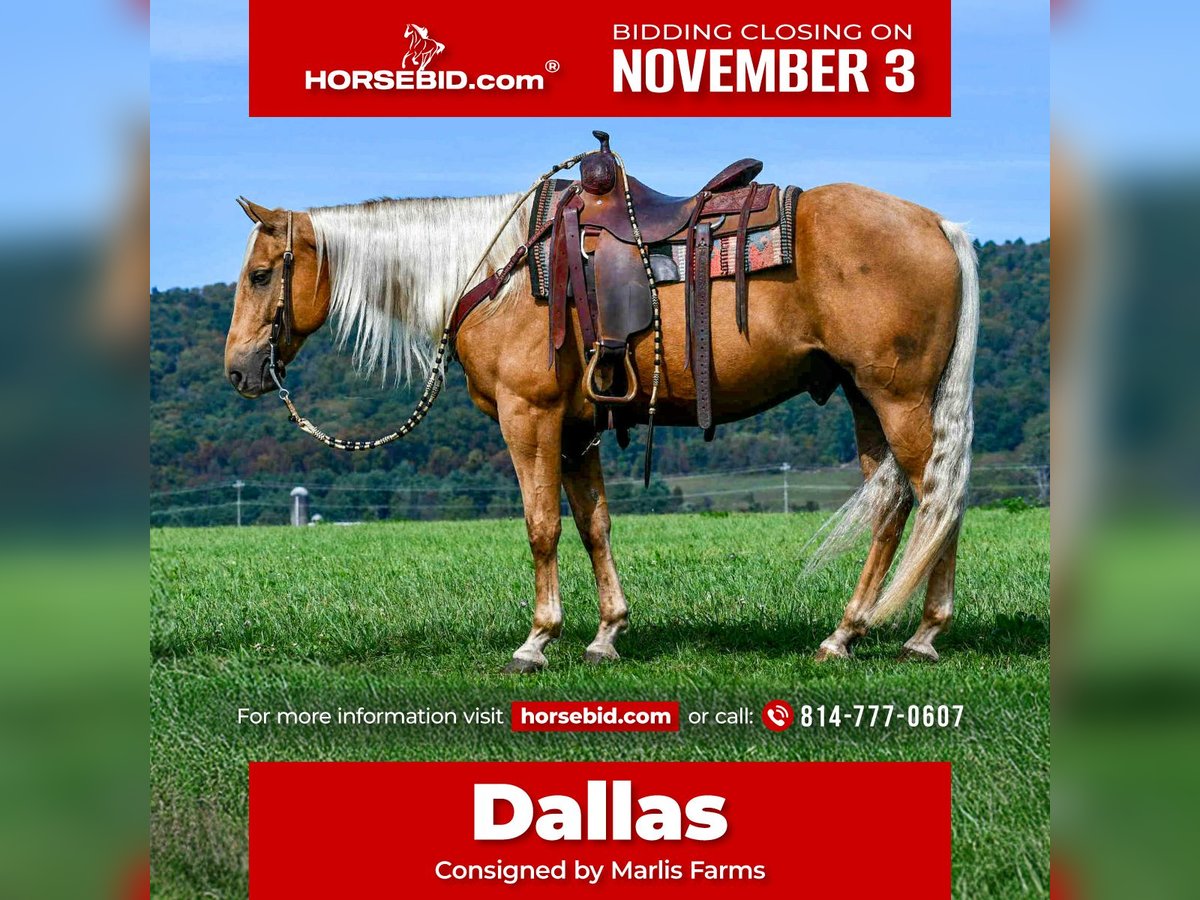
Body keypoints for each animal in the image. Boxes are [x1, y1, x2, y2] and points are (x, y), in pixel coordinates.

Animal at [224, 176, 978, 673]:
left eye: (261, 274)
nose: (237, 369)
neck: (495, 273)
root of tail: (939, 224)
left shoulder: (529, 417)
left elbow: (542, 527)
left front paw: (536, 641)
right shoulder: (576, 429)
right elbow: (594, 525)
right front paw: (606, 634)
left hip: (899, 398)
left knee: (937, 500)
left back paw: (922, 634)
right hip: (864, 400)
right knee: (893, 507)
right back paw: (846, 634)